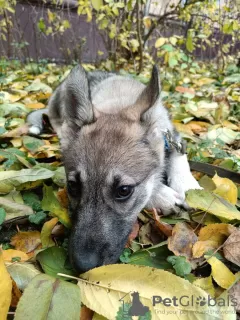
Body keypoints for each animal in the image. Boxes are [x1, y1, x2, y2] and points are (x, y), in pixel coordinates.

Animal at [27, 65, 202, 272]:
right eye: (73, 186)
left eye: (123, 190)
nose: (83, 266)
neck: (118, 103)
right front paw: (162, 195)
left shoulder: (173, 137)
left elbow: (180, 159)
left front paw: (189, 187)